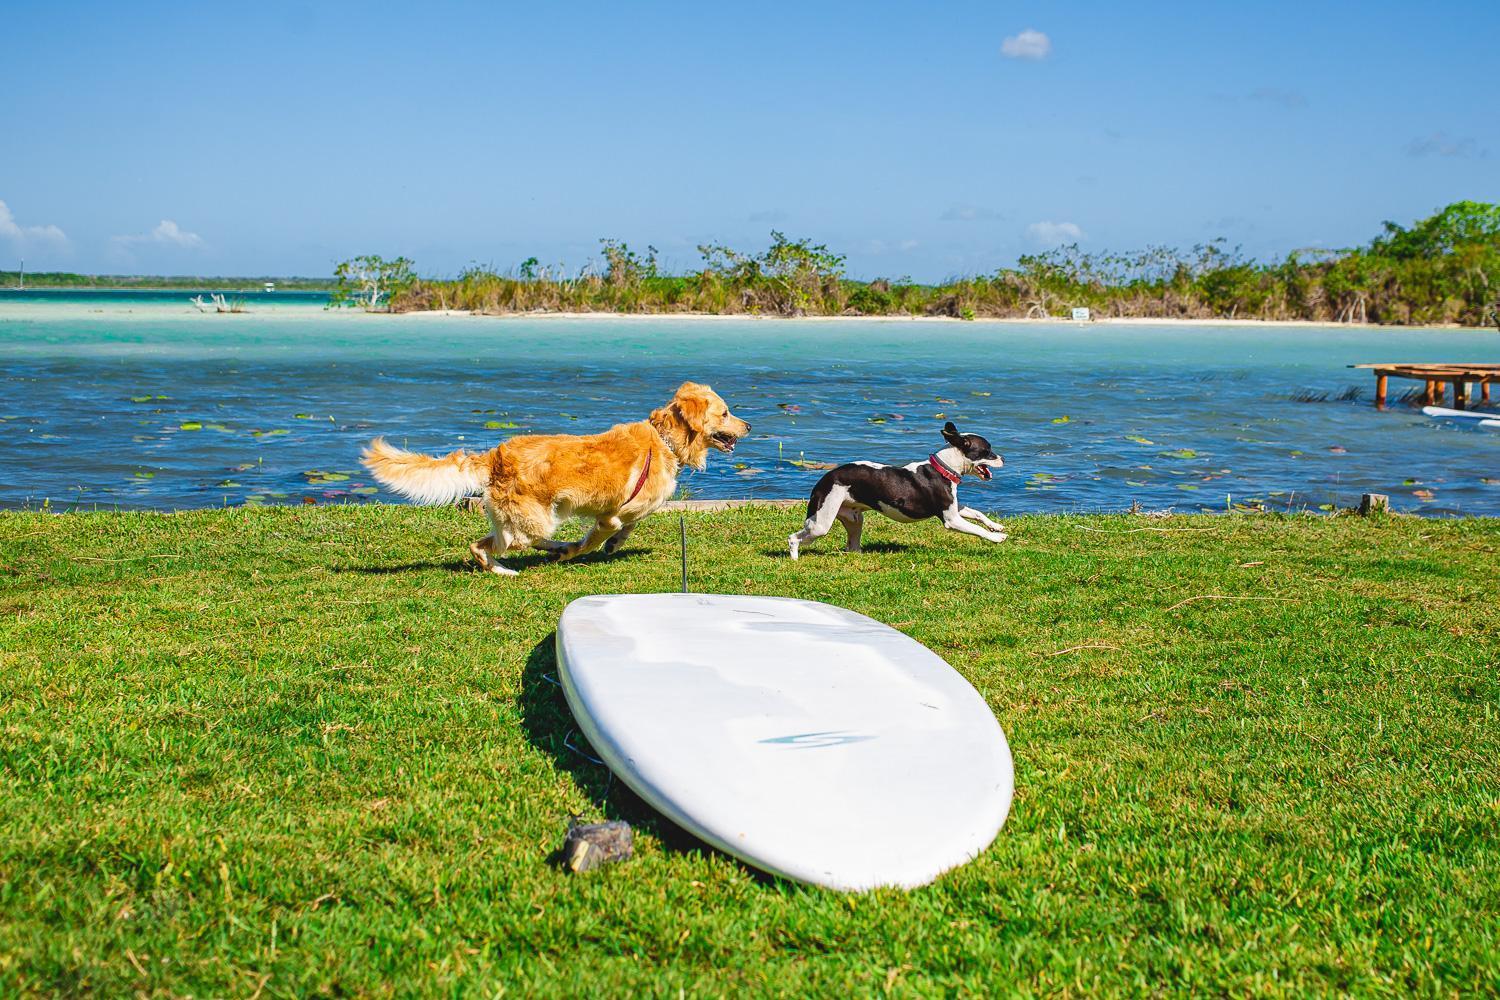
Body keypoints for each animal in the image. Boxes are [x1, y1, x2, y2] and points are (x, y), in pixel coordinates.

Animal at [786, 422, 1008, 560]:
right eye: (988, 451)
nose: (1003, 458)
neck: (943, 468)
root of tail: (824, 478)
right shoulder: (951, 519)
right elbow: (977, 529)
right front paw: (997, 538)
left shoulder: (954, 508)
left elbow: (977, 514)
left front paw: (996, 526)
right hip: (821, 524)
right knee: (794, 538)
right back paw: (794, 558)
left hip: (853, 519)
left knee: (852, 546)